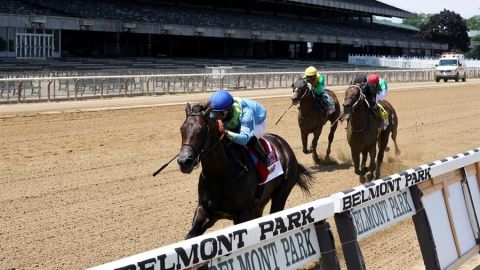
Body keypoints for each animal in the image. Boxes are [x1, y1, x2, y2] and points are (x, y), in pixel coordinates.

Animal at [176, 103, 316, 240]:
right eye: (182, 129)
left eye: (202, 130)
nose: (184, 161)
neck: (220, 175)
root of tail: (284, 144)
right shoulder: (204, 212)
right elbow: (189, 237)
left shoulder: (242, 215)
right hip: (260, 203)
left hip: (281, 194)